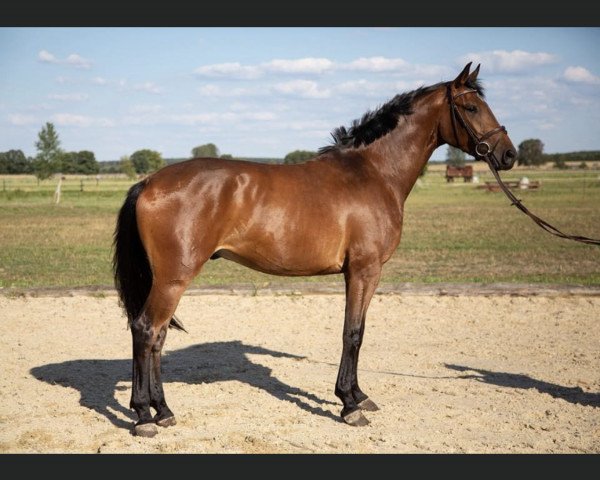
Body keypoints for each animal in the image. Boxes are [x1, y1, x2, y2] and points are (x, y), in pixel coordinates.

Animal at [116, 62, 516, 436]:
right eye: (471, 107)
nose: (509, 155)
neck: (373, 172)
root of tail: (149, 182)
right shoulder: (364, 270)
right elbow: (353, 333)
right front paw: (349, 405)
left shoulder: (360, 273)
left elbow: (357, 331)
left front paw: (358, 396)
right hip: (173, 278)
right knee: (146, 330)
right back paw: (144, 415)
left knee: (158, 337)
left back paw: (163, 411)